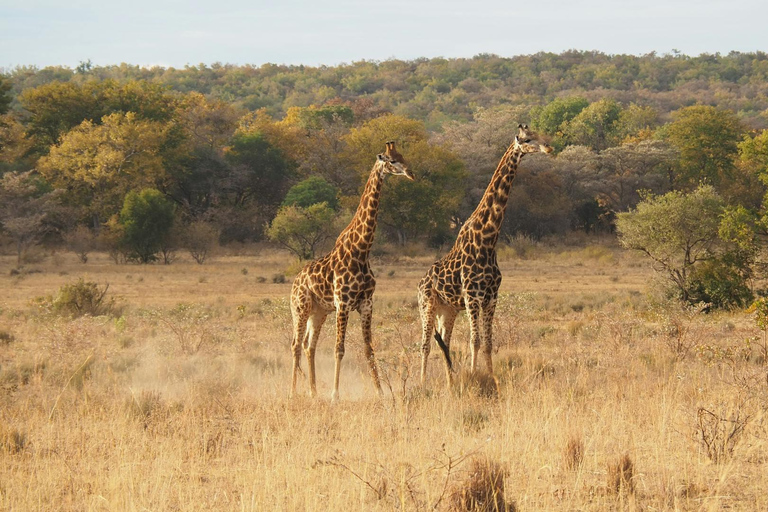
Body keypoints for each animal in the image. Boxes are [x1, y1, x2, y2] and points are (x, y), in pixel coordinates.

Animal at [292, 140, 416, 400]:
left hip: (319, 312)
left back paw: (313, 392)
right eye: (391, 161)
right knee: (295, 345)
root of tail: (295, 281)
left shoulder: (366, 303)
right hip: (301, 307)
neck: (361, 251)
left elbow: (370, 349)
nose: (411, 173)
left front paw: (380, 393)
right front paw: (335, 395)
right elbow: (339, 348)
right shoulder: (343, 303)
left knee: (309, 345)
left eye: (403, 156)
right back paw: (292, 392)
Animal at [416, 126, 556, 386]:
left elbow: (489, 343)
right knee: (425, 344)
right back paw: (422, 382)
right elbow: (475, 341)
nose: (548, 147)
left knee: (444, 341)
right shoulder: (473, 295)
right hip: (427, 305)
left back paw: (450, 381)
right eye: (527, 139)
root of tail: (420, 283)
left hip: (448, 310)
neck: (488, 239)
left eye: (540, 134)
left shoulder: (491, 297)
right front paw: (474, 376)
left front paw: (491, 377)